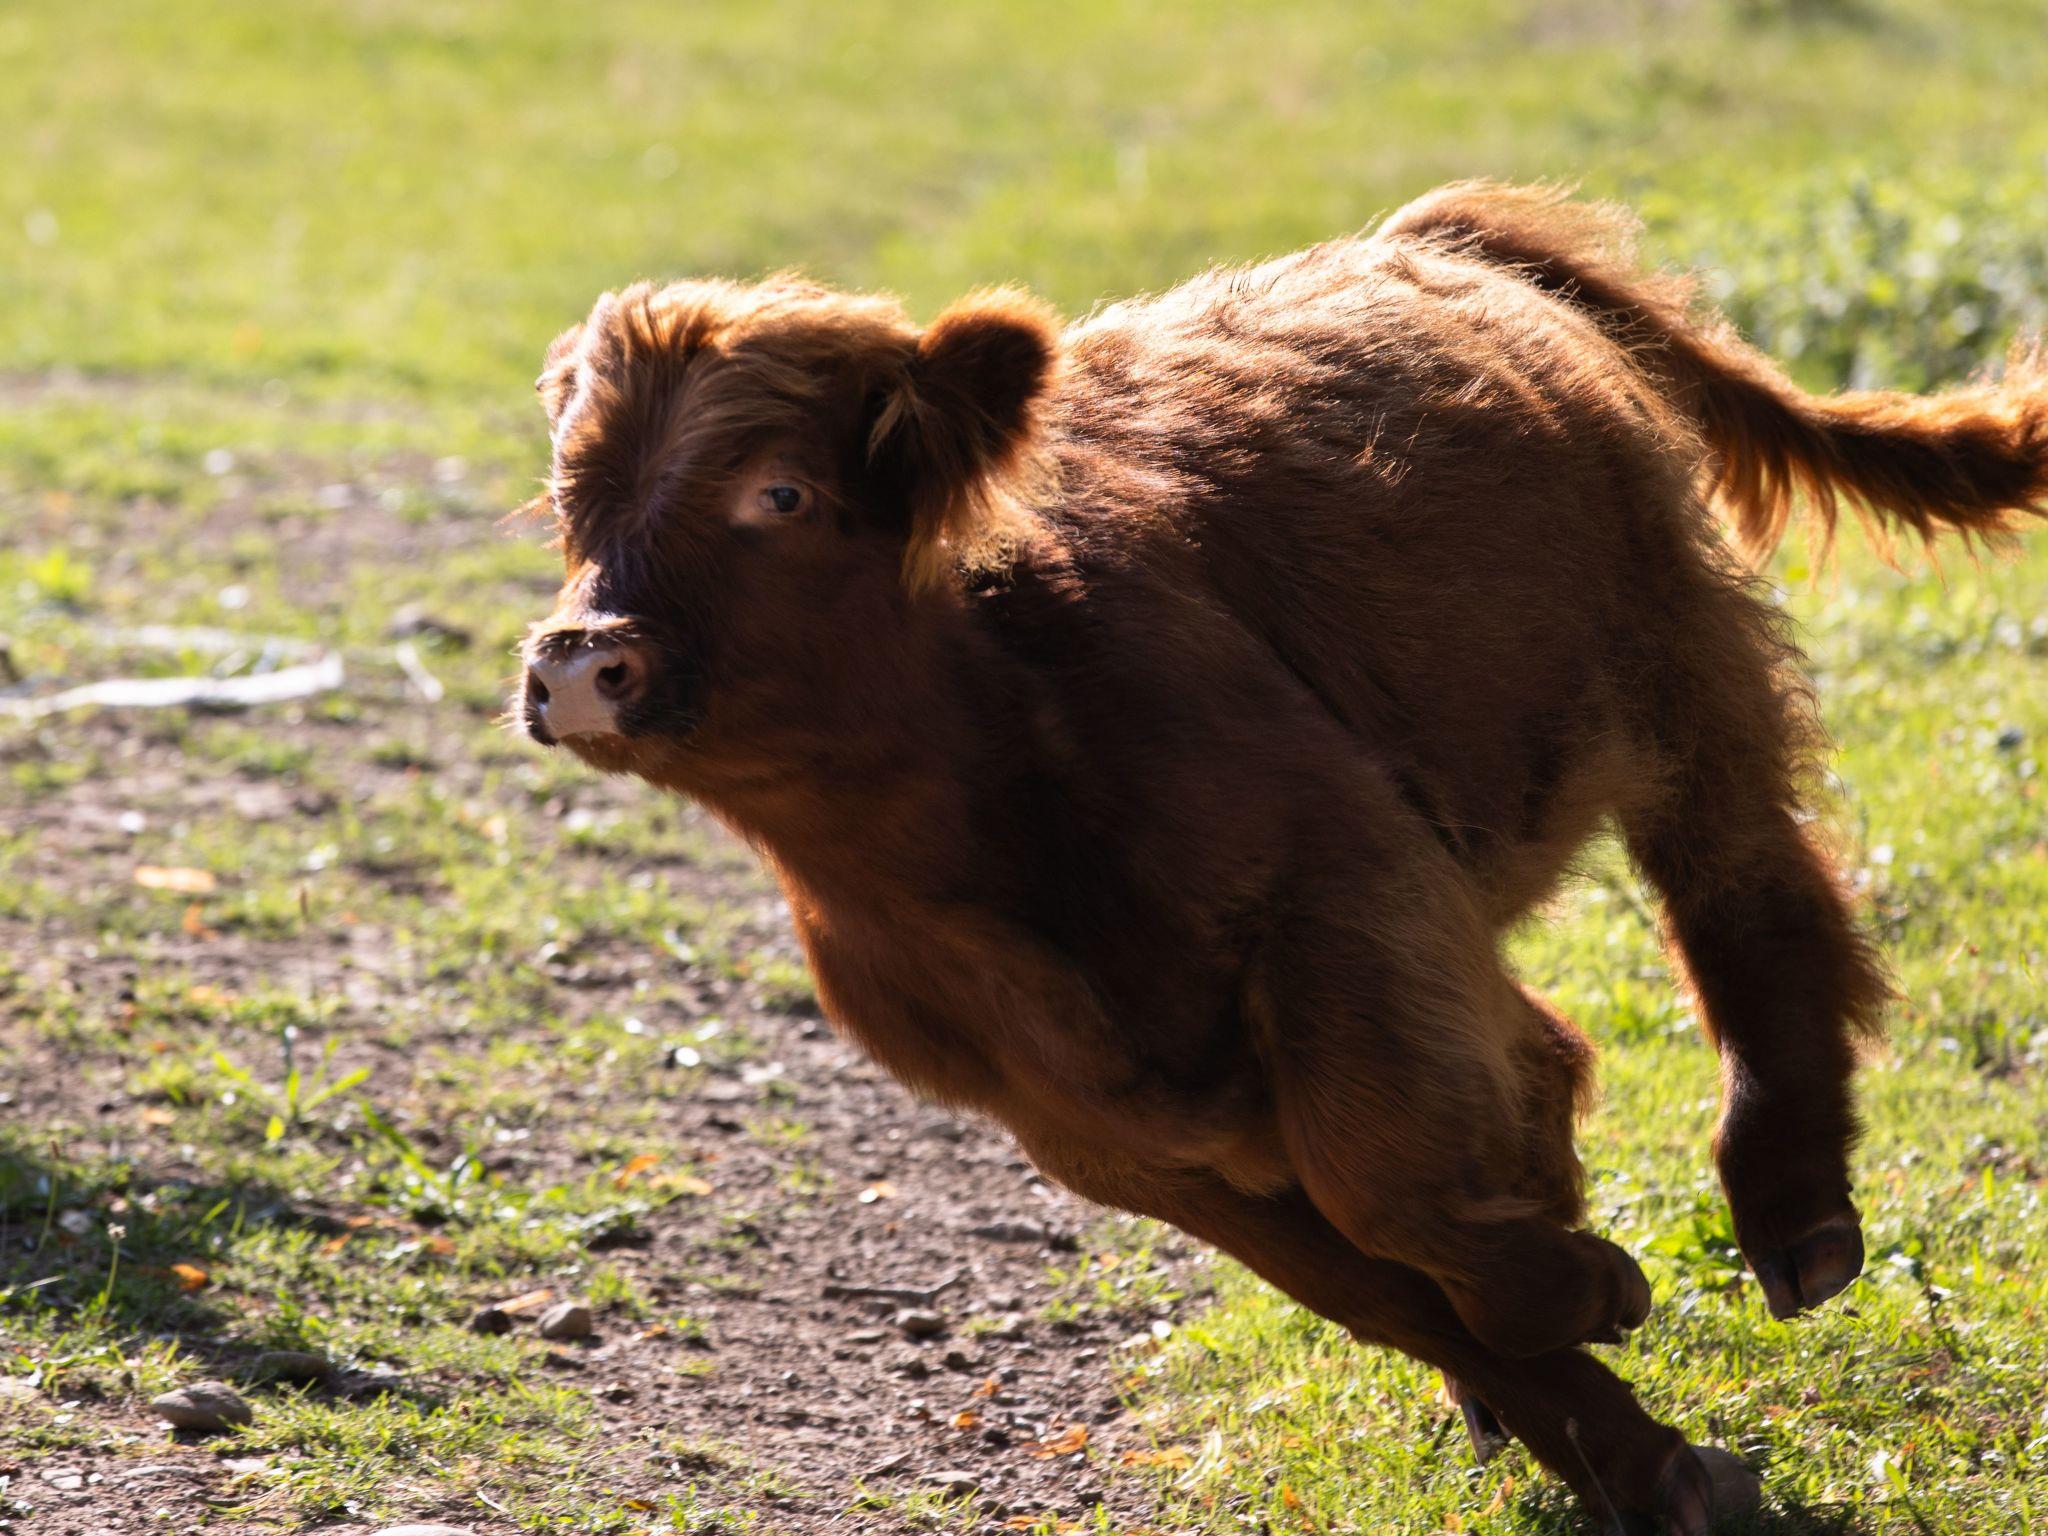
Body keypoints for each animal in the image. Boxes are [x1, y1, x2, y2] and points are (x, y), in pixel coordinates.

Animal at [513, 182, 2047, 1533]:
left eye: (777, 494)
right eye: (573, 502)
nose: (580, 658)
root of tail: (1413, 234)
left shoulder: (1344, 910)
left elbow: (1399, 1185)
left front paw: (1589, 1284)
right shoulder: (1093, 1128)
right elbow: (1390, 1293)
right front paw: (1640, 1453)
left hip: (1672, 662)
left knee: (1743, 886)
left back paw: (1795, 1214)